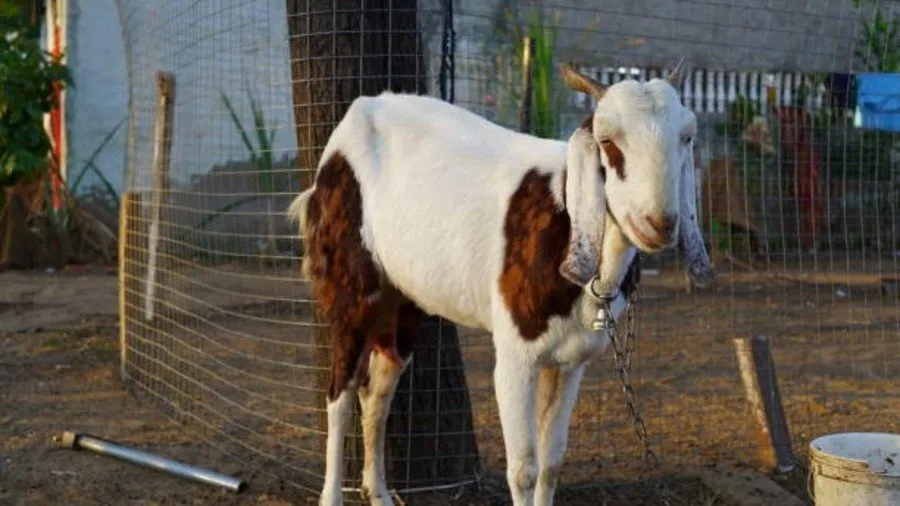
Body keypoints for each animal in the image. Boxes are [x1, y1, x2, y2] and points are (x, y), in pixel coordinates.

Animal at [289, 61, 715, 506]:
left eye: (687, 136)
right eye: (607, 140)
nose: (659, 224)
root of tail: (358, 112)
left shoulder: (571, 360)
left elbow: (552, 462)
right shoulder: (514, 355)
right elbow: (524, 470)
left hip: (401, 297)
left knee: (377, 389)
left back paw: (381, 494)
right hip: (349, 281)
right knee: (339, 393)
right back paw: (333, 494)